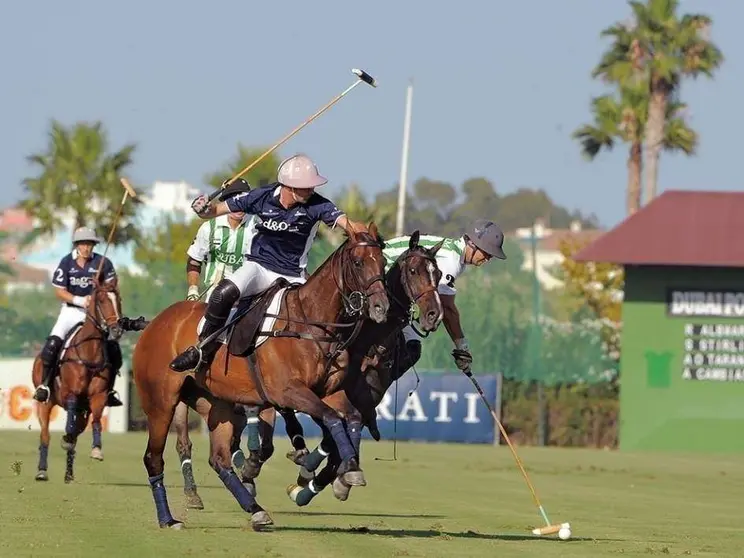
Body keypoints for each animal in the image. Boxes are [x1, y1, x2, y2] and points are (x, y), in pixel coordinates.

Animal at [32, 278, 124, 484]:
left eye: (119, 300)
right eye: (102, 300)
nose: (117, 330)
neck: (89, 351)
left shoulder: (98, 396)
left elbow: (96, 420)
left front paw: (96, 450)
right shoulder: (71, 393)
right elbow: (69, 424)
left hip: (84, 411)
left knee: (76, 431)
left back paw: (69, 473)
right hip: (45, 403)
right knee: (45, 435)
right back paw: (42, 471)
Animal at [132, 224, 390, 532]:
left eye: (383, 262)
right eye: (358, 262)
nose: (381, 308)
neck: (312, 325)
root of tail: (154, 323)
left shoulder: (329, 391)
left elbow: (349, 417)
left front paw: (347, 469)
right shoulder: (288, 391)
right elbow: (331, 418)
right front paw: (342, 469)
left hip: (217, 405)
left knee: (219, 459)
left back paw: (256, 510)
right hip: (161, 402)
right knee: (153, 457)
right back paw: (168, 519)